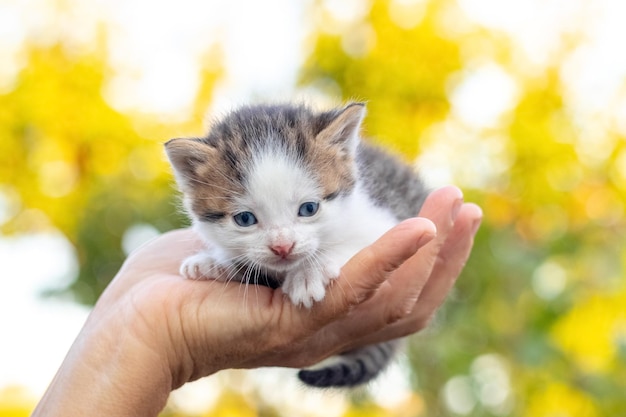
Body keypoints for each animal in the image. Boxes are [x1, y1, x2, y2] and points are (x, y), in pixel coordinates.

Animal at [166, 101, 426, 386]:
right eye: (245, 219)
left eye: (309, 208)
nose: (282, 247)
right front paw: (212, 262)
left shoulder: (383, 221)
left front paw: (308, 274)